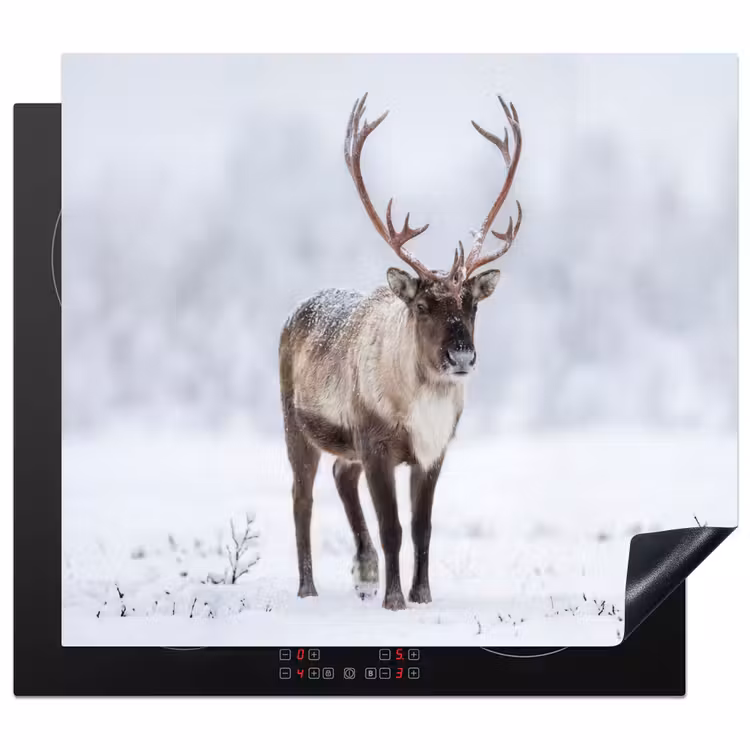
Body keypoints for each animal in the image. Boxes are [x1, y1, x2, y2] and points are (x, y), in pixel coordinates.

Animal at [279, 92, 523, 610]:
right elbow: (392, 527)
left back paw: (365, 571)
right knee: (302, 497)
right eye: (424, 305)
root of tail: (294, 313)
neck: (420, 404)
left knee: (340, 475)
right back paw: (309, 588)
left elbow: (422, 527)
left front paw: (422, 594)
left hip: (343, 443)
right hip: (296, 426)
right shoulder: (376, 446)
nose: (462, 357)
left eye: (472, 304)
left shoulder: (434, 452)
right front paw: (394, 599)